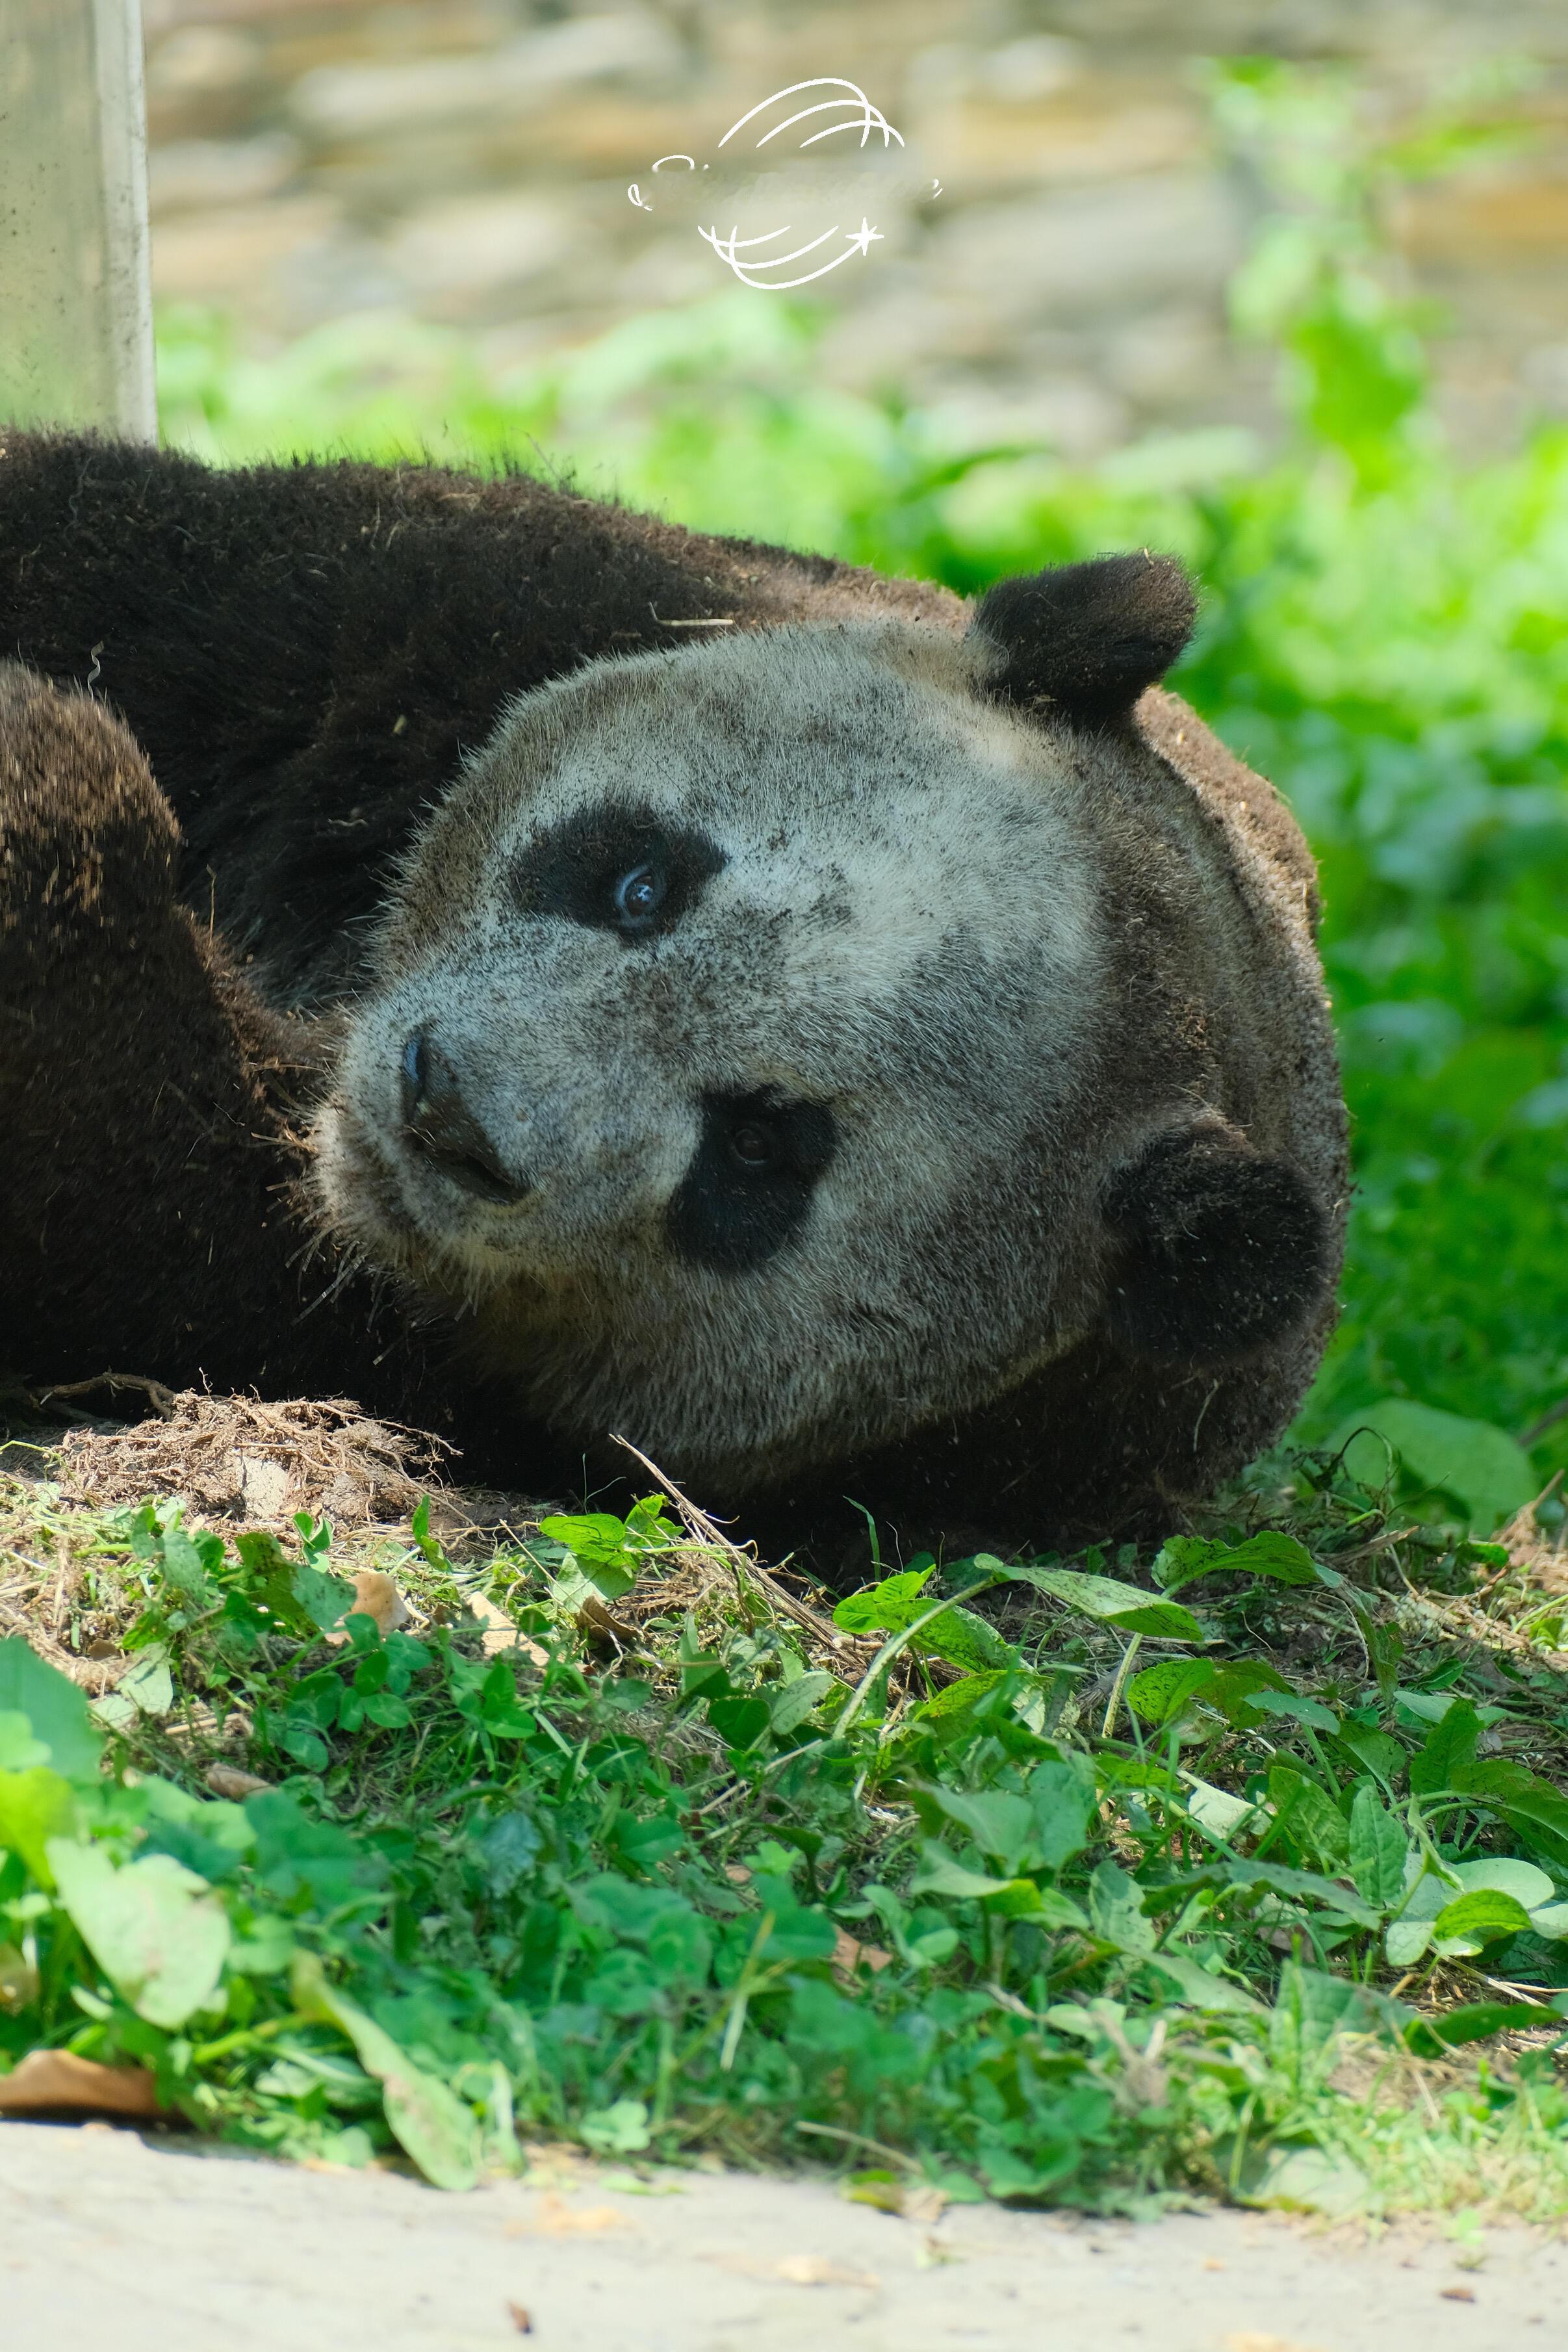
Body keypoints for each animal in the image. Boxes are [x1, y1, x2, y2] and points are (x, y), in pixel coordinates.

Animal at [0, 431, 1345, 1576]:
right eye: (641, 882)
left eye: (757, 1149)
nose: (449, 1111)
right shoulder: (446, 602)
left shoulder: (424, 1349)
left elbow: (142, 1201)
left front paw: (52, 794)